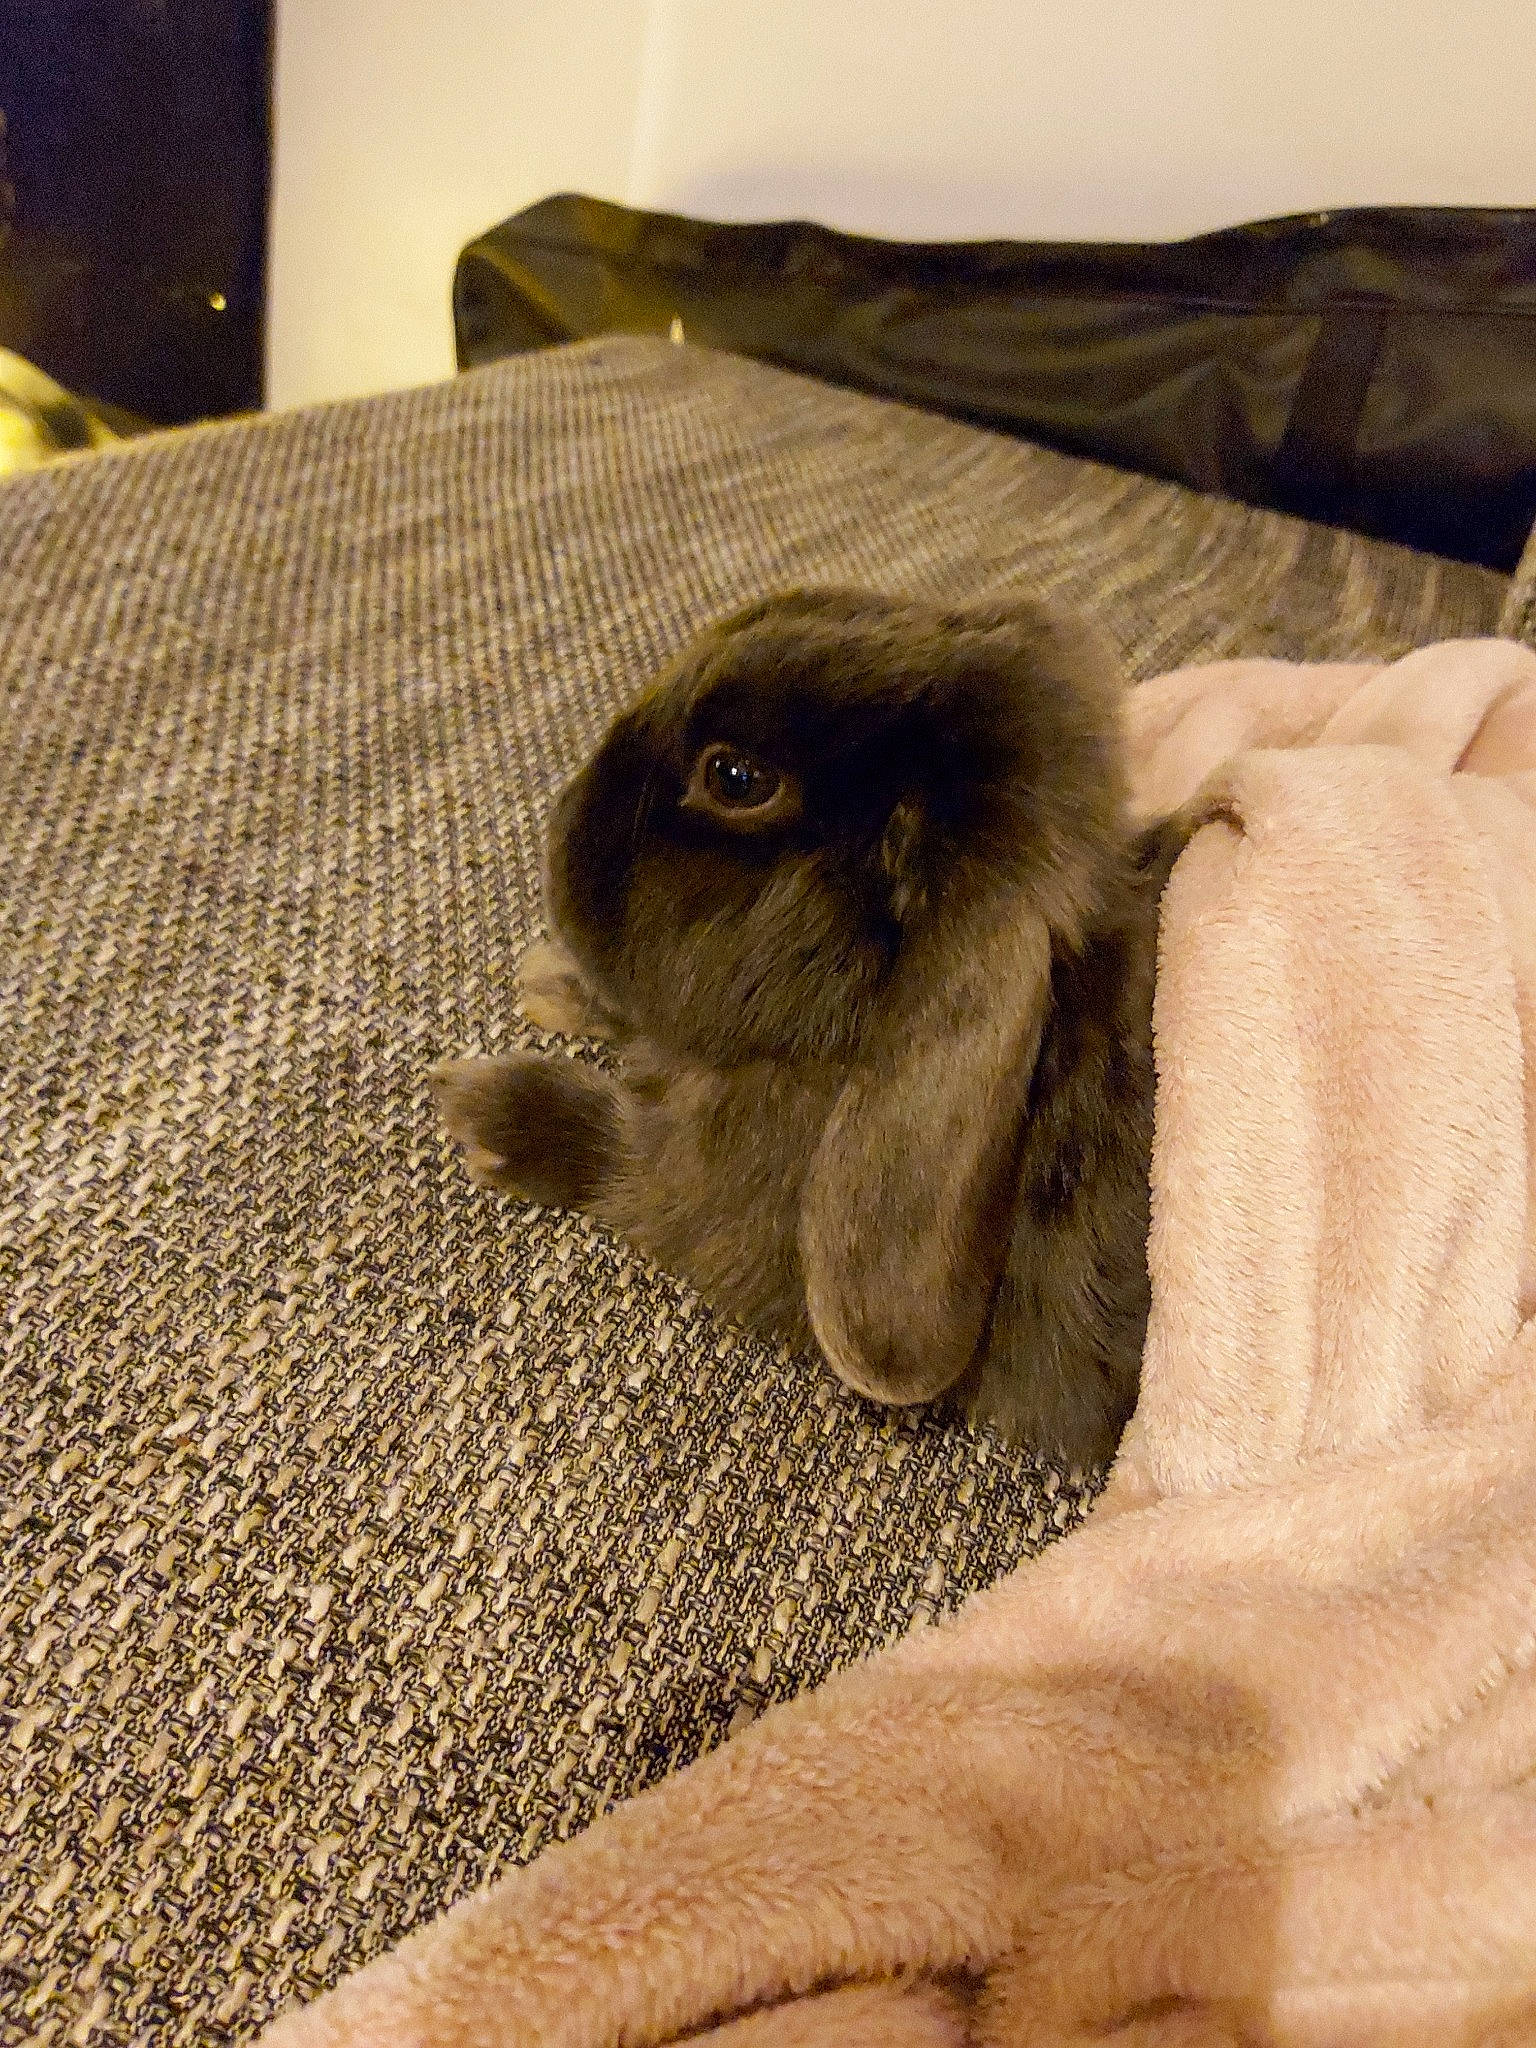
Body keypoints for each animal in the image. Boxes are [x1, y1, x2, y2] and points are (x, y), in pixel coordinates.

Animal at [430, 588, 1187, 1468]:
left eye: (735, 778)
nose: (557, 826)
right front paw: (549, 980)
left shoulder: (707, 1198)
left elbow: (619, 1159)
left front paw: (482, 1112)